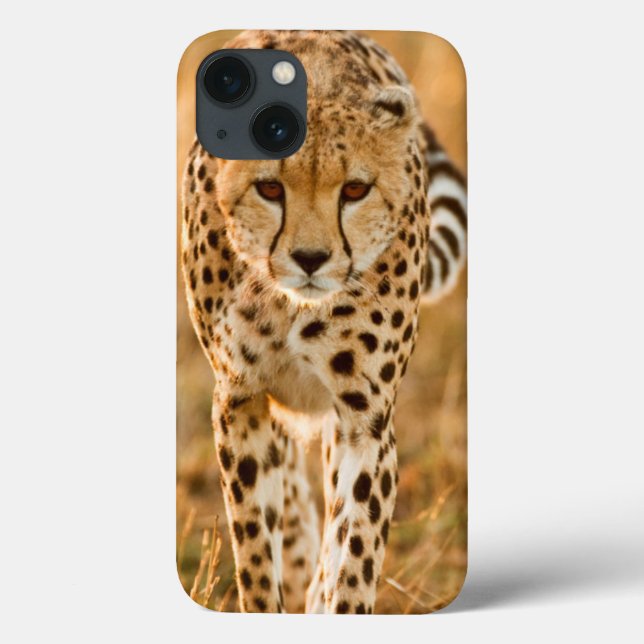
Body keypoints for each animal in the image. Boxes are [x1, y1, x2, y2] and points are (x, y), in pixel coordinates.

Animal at [181, 29, 467, 614]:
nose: (310, 259)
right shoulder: (239, 398)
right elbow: (254, 548)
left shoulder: (366, 419)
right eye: (269, 189)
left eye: (355, 190)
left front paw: (335, 596)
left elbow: (354, 548)